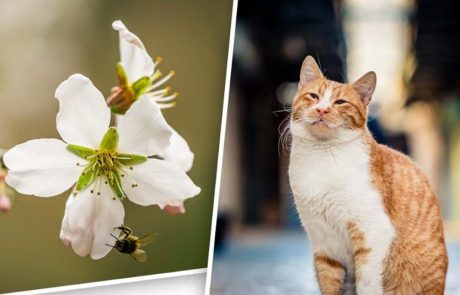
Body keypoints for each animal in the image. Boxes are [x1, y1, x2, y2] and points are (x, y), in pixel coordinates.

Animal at [290, 56, 448, 295]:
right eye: (314, 96)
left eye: (340, 102)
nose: (322, 110)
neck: (321, 154)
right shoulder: (324, 244)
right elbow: (329, 283)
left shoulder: (373, 231)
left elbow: (366, 282)